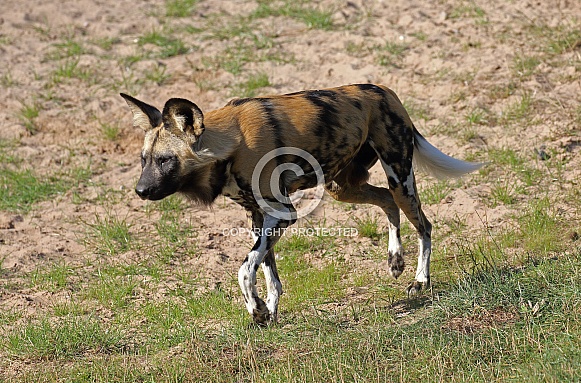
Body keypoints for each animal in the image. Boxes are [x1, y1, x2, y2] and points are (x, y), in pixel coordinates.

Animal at [120, 83, 482, 324]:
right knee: (386, 202)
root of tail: (383, 90)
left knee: (424, 224)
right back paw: (395, 259)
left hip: (400, 178)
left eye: (165, 160)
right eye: (143, 160)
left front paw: (257, 310)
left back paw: (420, 281)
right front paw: (268, 311)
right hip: (343, 187)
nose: (140, 190)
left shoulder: (282, 214)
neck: (229, 146)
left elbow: (244, 269)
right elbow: (269, 272)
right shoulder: (259, 216)